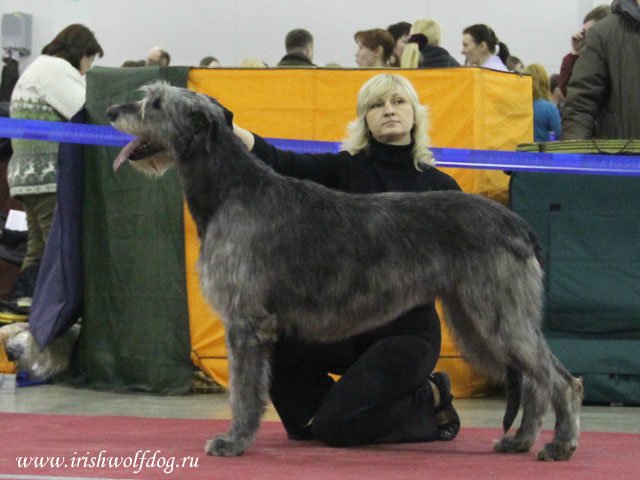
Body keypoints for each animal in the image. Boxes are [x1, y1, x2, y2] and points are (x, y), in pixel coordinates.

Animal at [107, 83, 584, 462]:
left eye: (155, 103)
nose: (111, 112)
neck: (231, 190)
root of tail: (516, 223)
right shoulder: (260, 324)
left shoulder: (244, 321)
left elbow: (243, 390)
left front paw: (234, 440)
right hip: (475, 317)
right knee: (535, 380)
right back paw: (520, 440)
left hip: (496, 312)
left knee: (560, 380)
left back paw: (560, 445)